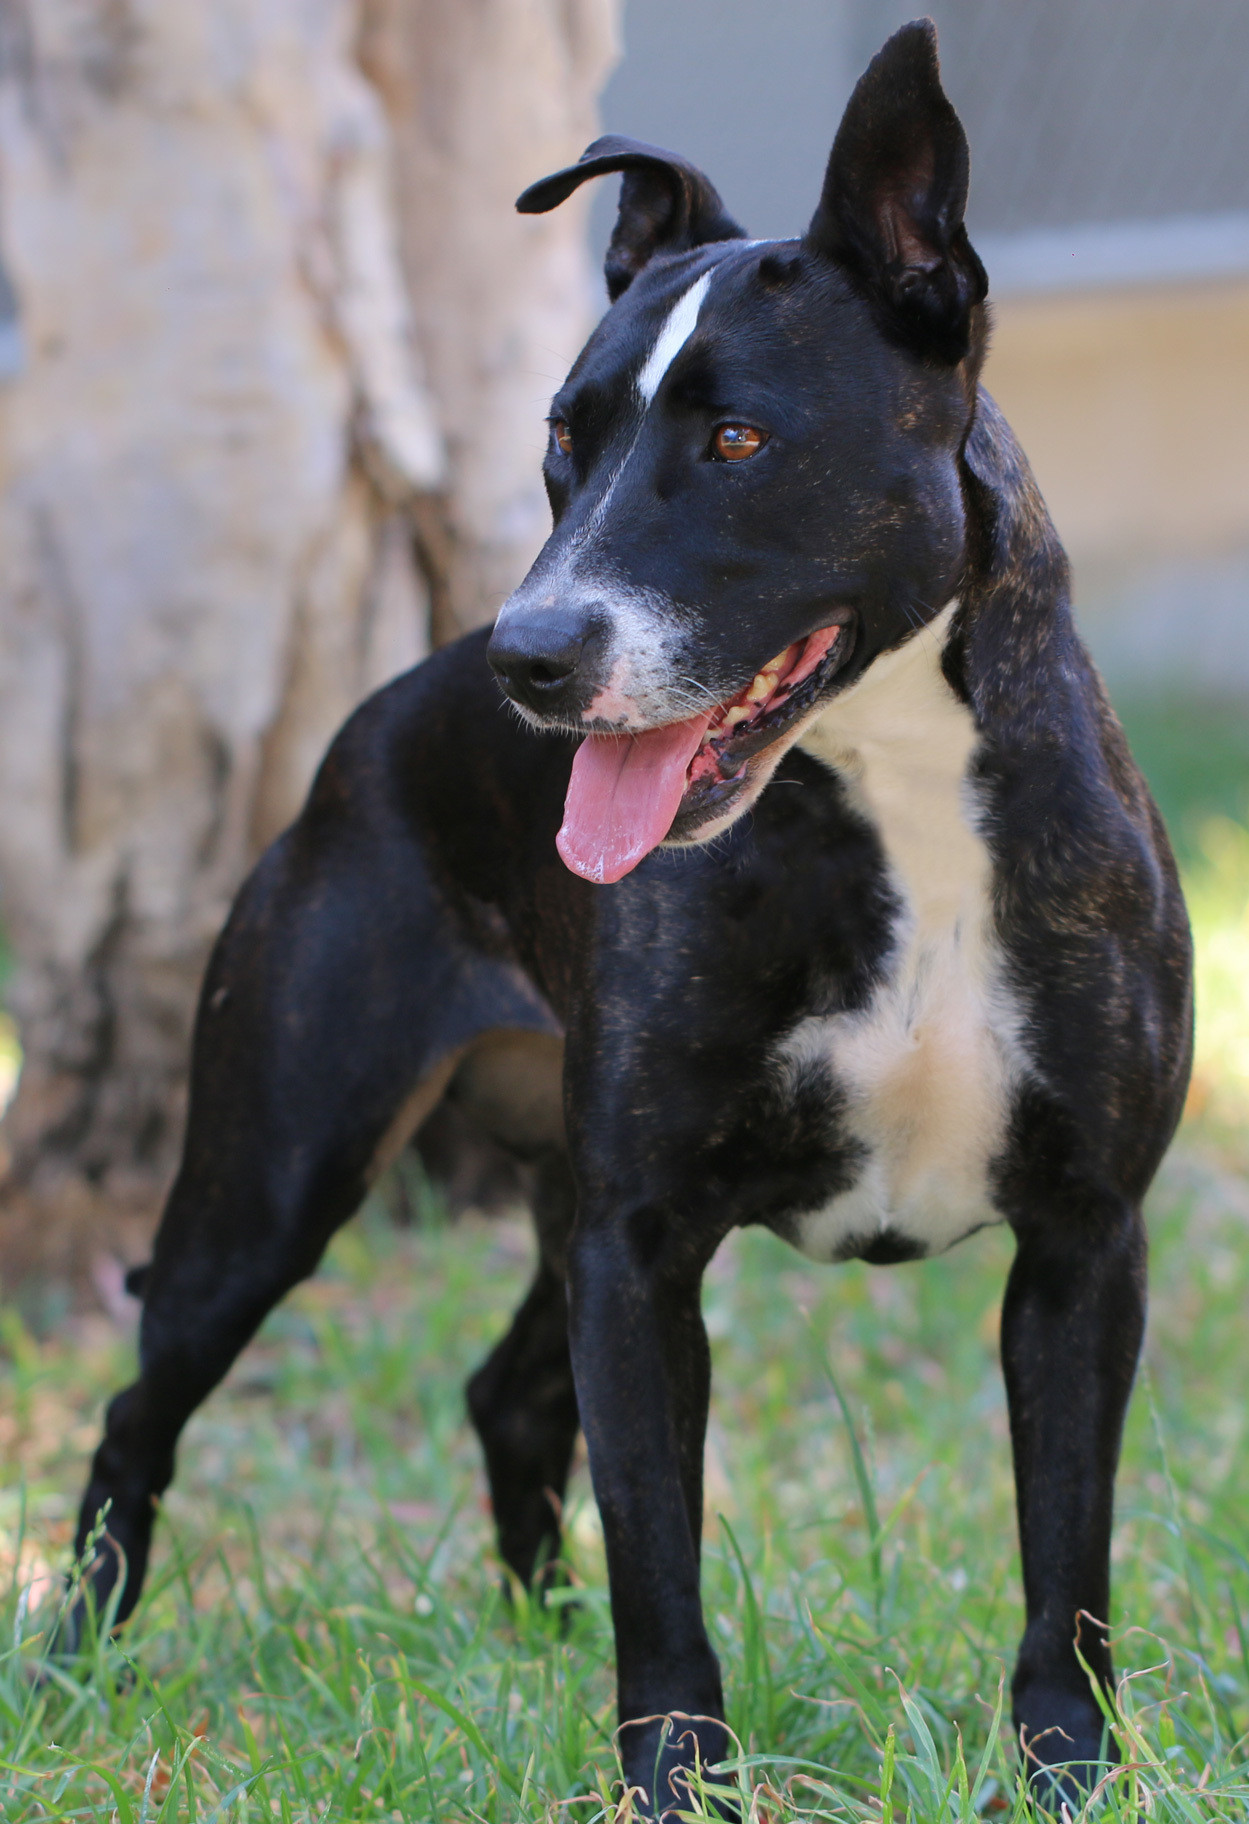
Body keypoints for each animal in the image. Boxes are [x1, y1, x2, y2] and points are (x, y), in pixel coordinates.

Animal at [69, 21, 1192, 1818]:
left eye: (737, 441)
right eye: (561, 435)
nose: (525, 657)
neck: (886, 786)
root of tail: (371, 723)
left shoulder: (1083, 1244)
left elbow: (1063, 1558)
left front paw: (1065, 1769)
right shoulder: (640, 1243)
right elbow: (661, 1561)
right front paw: (674, 1781)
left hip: (525, 1196)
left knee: (505, 1395)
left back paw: (526, 1645)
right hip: (271, 1178)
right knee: (137, 1404)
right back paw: (76, 1654)